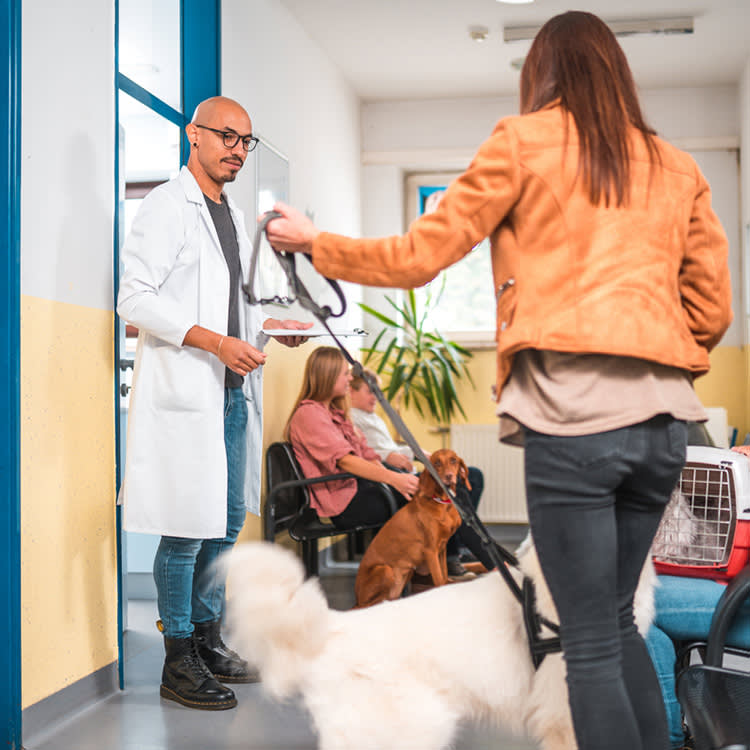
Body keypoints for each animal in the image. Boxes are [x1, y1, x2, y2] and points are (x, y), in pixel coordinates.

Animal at [352, 450, 470, 608]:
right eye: (437, 463)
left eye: (453, 460)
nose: (449, 476)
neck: (442, 504)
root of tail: (357, 598)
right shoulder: (431, 551)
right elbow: (439, 580)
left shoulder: (442, 548)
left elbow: (444, 575)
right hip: (385, 570)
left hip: (407, 571)